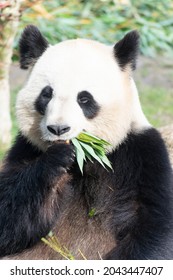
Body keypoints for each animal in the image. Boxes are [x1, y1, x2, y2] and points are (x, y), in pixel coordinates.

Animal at [0, 25, 173, 260]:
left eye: (84, 99)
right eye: (46, 94)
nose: (59, 129)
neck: (85, 160)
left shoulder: (140, 154)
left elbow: (154, 227)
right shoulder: (26, 149)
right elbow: (9, 216)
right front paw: (56, 158)